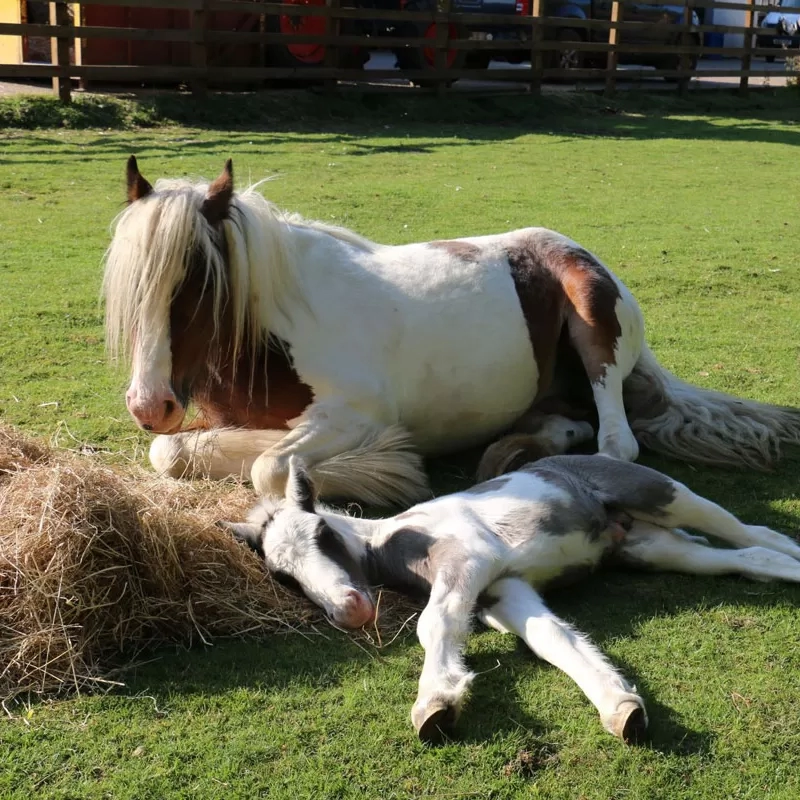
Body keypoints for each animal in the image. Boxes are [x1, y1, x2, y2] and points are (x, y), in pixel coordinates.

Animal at [106, 156, 800, 504]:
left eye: (197, 281)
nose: (148, 404)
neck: (271, 329)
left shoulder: (353, 413)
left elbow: (271, 470)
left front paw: (385, 469)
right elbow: (171, 453)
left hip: (595, 324)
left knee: (615, 443)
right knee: (569, 424)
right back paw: (513, 450)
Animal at [222, 456, 800, 744]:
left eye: (322, 533)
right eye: (283, 576)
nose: (350, 609)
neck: (400, 540)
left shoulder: (469, 560)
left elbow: (433, 625)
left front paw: (435, 704)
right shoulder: (504, 590)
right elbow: (552, 639)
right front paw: (622, 709)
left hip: (665, 495)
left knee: (751, 530)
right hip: (649, 547)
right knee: (751, 555)